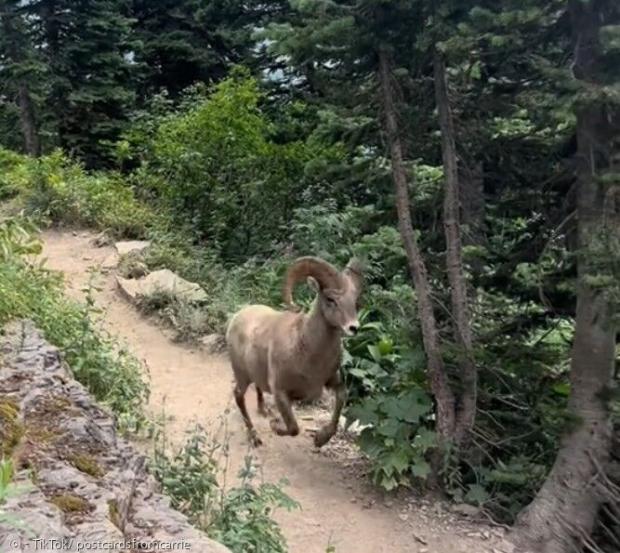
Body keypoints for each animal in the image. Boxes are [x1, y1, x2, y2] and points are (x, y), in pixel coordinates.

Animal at [226, 256, 364, 446]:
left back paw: (263, 411)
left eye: (355, 301)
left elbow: (341, 399)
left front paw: (320, 439)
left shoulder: (332, 382)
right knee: (239, 396)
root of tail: (236, 317)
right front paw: (275, 425)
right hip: (242, 376)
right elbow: (293, 428)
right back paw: (254, 437)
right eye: (330, 299)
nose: (353, 328)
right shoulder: (281, 394)